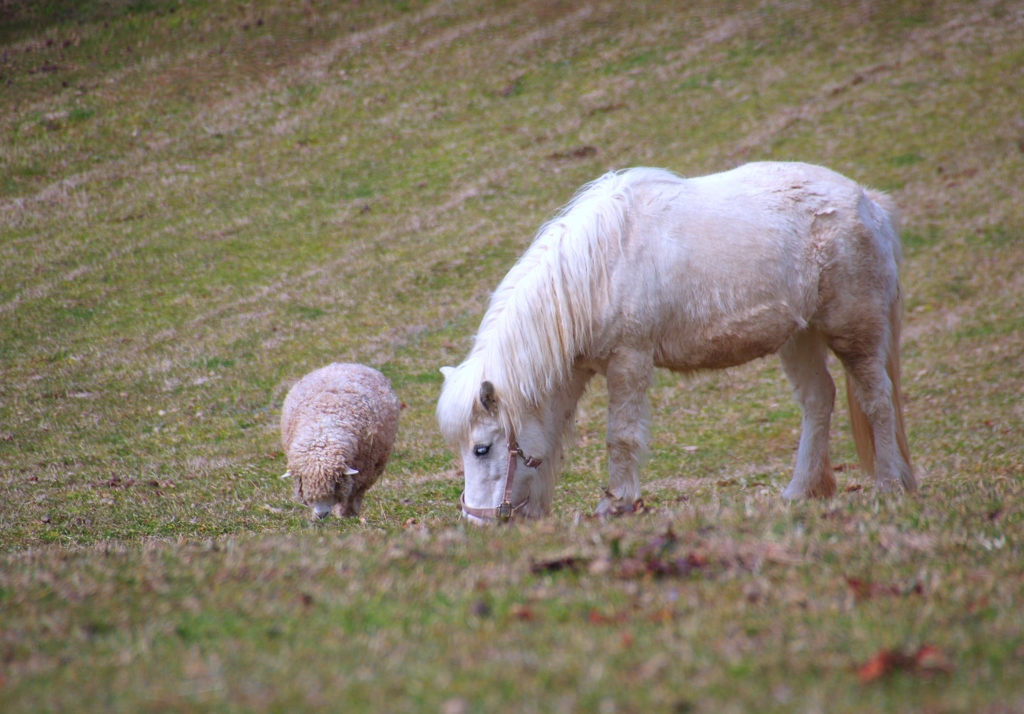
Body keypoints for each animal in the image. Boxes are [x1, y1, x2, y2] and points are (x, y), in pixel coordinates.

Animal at [436, 161, 917, 520]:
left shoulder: (628, 360)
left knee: (876, 399)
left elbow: (621, 436)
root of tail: (868, 203)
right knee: (819, 400)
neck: (597, 269)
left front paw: (617, 503)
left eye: (481, 448)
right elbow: (551, 440)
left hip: (855, 331)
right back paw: (800, 491)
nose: (477, 521)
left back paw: (890, 484)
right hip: (800, 337)